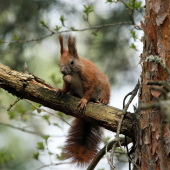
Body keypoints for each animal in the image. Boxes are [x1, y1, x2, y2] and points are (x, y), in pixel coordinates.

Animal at [56, 34, 111, 167]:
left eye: (71, 62)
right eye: (58, 63)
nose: (63, 71)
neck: (75, 73)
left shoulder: (90, 78)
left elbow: (89, 90)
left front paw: (84, 101)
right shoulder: (68, 81)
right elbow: (66, 86)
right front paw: (61, 91)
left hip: (103, 87)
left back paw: (103, 100)